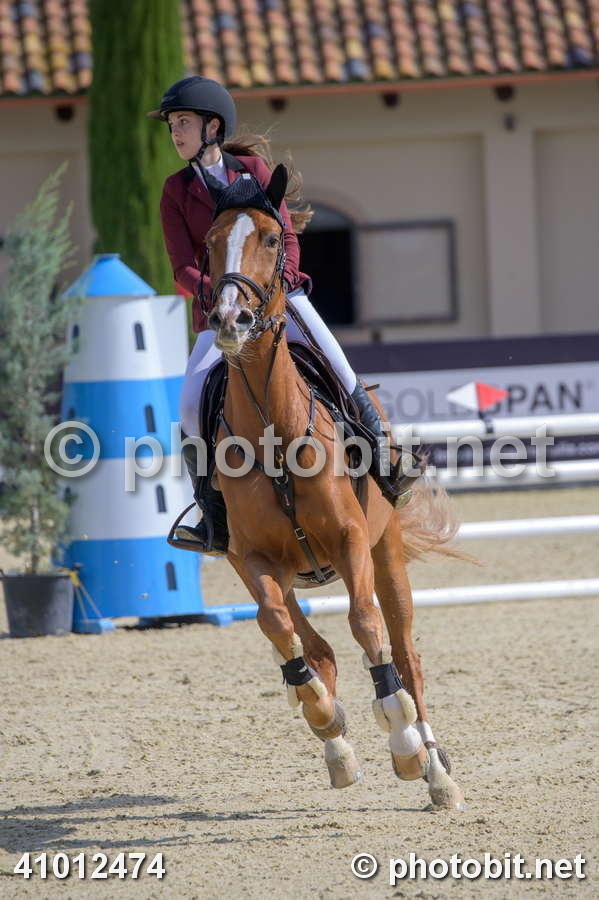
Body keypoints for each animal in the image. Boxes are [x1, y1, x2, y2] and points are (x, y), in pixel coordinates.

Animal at [198, 164, 466, 809]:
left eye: (273, 238)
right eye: (209, 244)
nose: (230, 321)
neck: (273, 429)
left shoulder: (349, 541)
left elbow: (367, 626)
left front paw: (403, 742)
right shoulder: (253, 558)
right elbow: (280, 630)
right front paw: (325, 717)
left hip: (384, 552)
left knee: (405, 650)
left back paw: (435, 769)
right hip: (286, 571)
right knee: (308, 643)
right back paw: (337, 744)